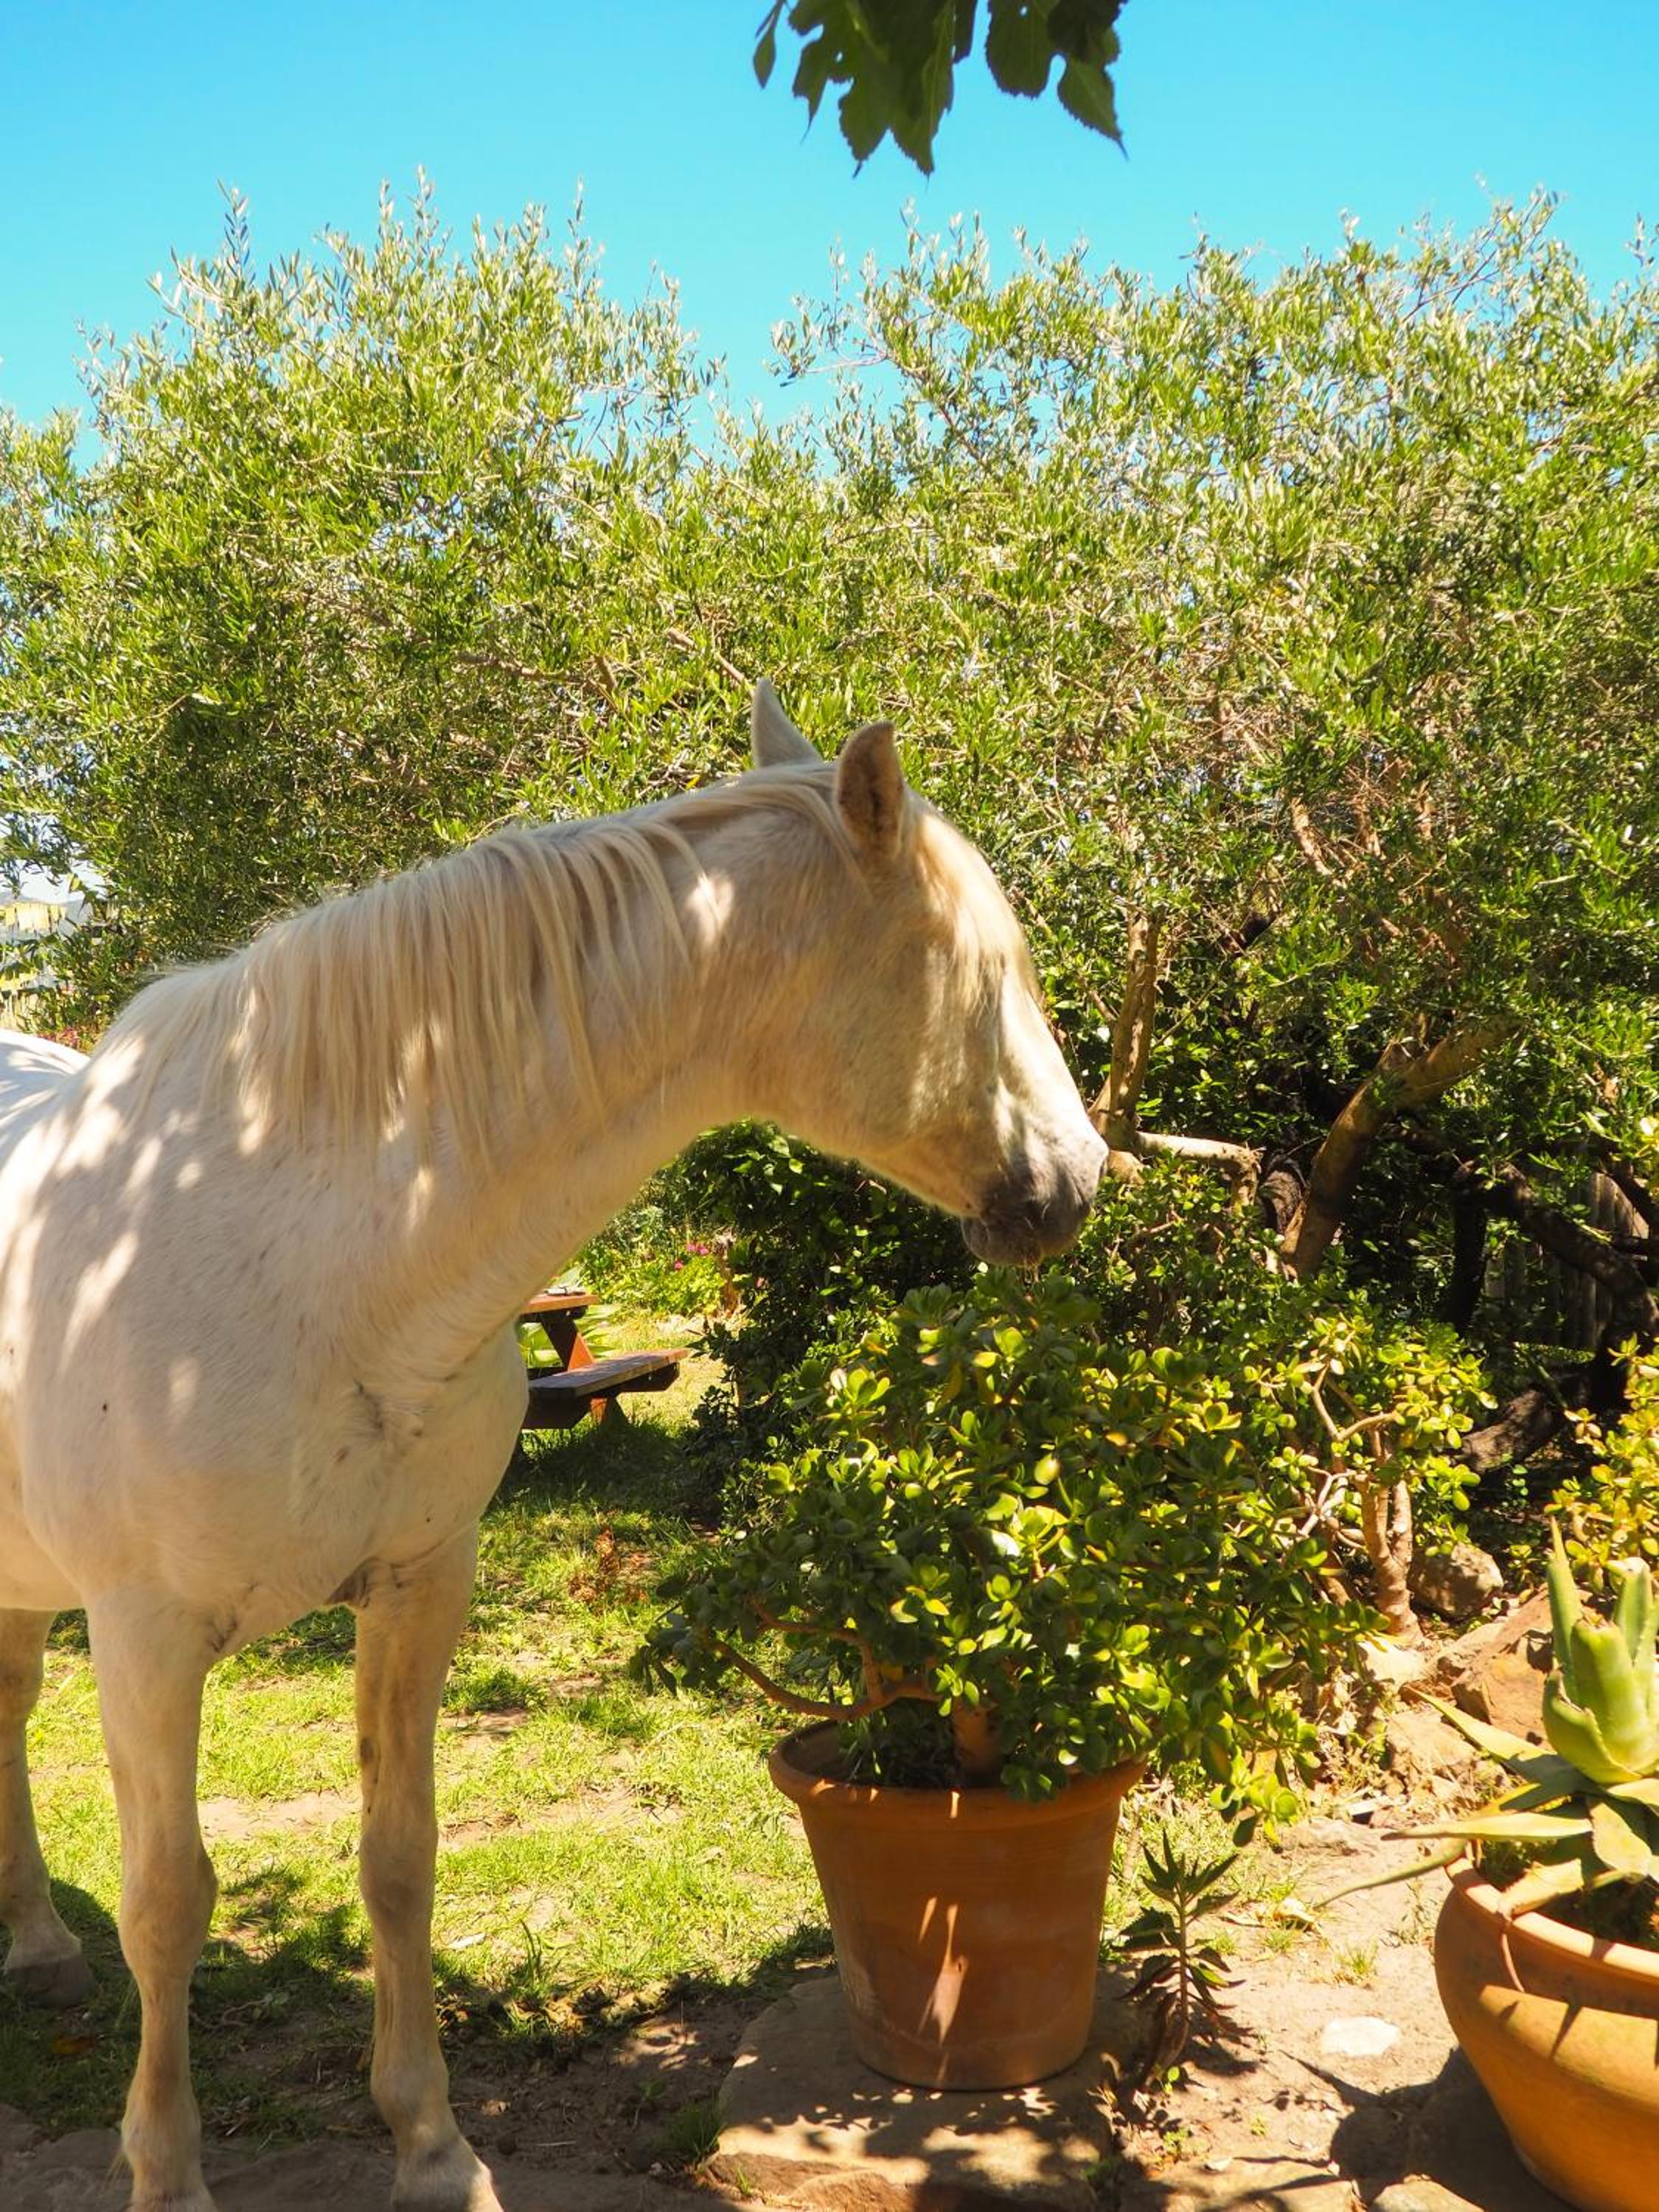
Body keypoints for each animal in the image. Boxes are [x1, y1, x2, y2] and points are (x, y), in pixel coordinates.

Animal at [0, 683, 1105, 2212]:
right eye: (984, 970)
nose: (1080, 1182)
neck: (307, 1259)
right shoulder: (147, 1636)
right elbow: (170, 1904)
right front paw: (164, 2172)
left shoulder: (418, 1587)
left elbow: (398, 1863)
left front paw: (432, 2146)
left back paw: (37, 1951)